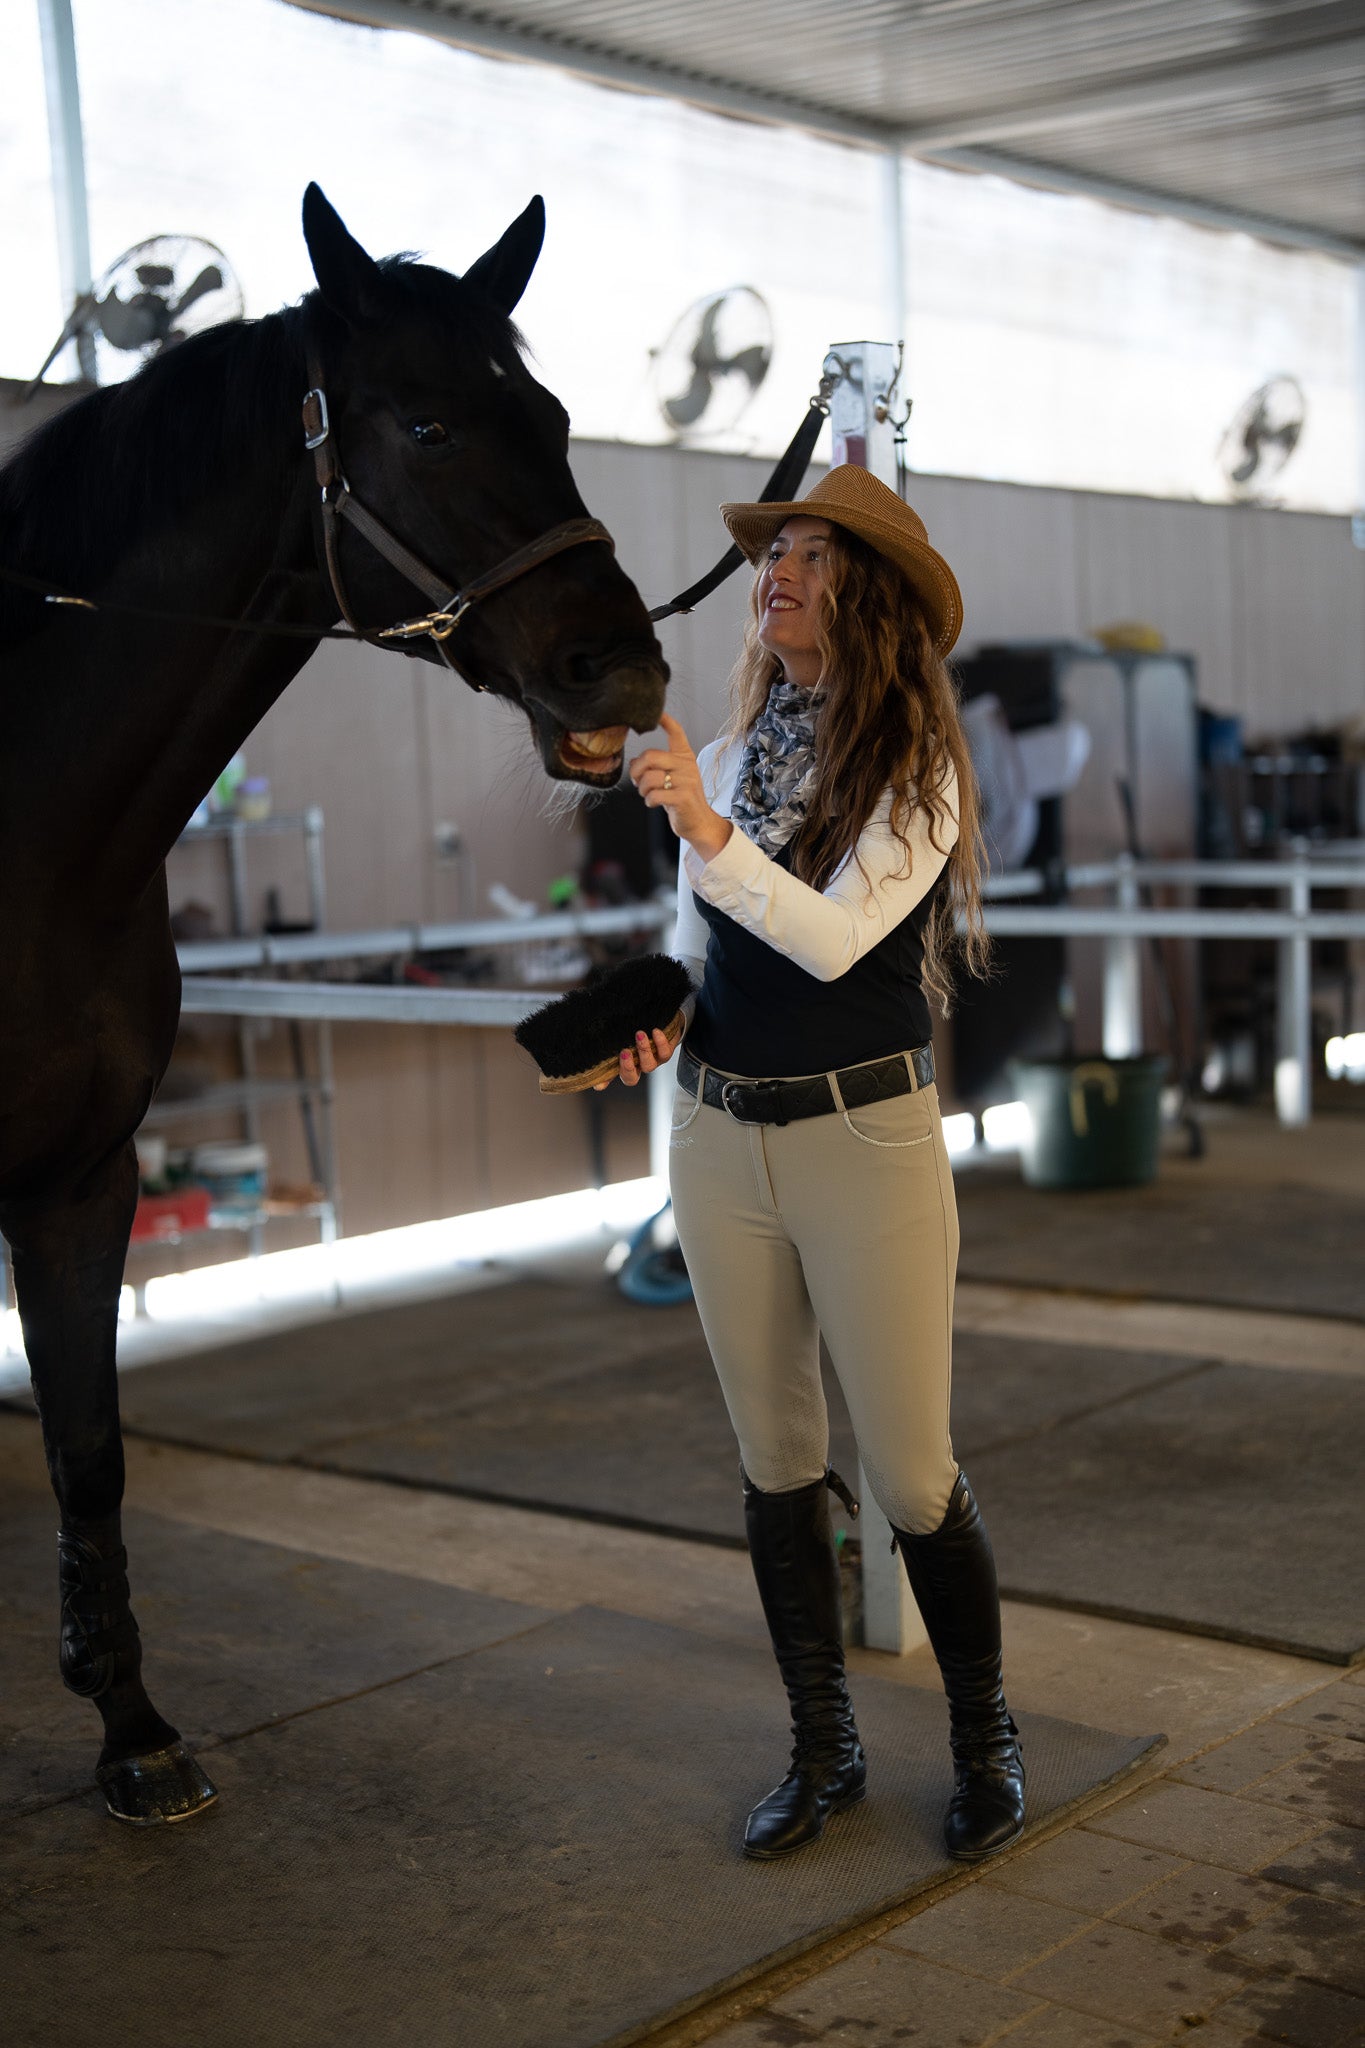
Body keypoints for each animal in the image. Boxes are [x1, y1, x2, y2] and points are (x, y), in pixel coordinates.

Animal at [0, 188, 663, 1826]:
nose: (621, 668)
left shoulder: (78, 1180)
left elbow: (89, 1448)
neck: (29, 834)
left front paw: (132, 1731)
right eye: (425, 425)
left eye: (556, 418)